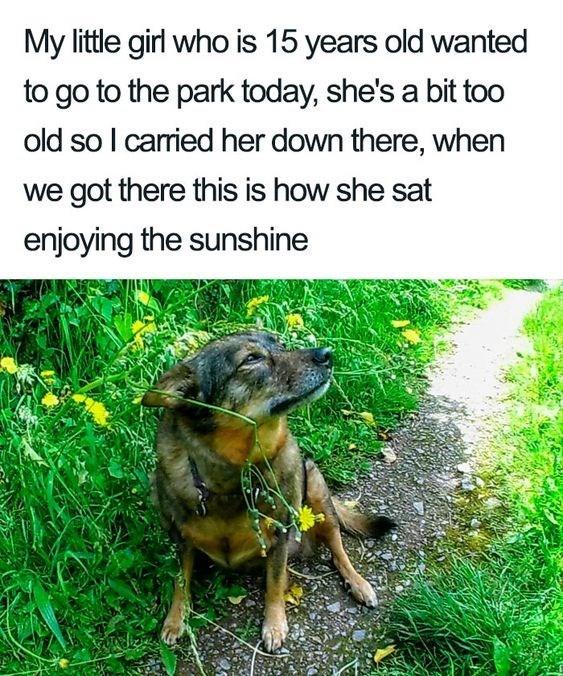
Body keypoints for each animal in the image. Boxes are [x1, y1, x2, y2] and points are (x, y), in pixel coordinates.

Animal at [143, 332, 394, 648]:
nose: (328, 354)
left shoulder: (279, 536)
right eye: (252, 358)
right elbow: (180, 580)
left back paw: (358, 584)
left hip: (317, 493)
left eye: (280, 344)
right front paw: (176, 619)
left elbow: (275, 583)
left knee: (338, 549)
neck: (233, 478)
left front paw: (274, 625)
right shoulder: (180, 537)